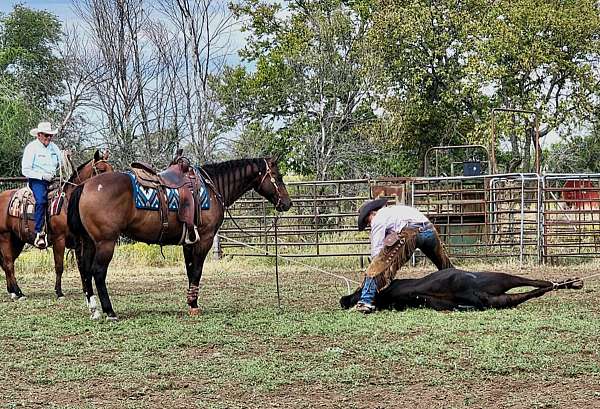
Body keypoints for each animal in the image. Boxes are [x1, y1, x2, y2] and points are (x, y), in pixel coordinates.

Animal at [0, 150, 112, 300]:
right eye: (100, 170)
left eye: (112, 169)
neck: (68, 203)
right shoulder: (59, 239)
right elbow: (59, 266)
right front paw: (59, 292)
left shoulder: (79, 241)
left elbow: (81, 266)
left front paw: (86, 290)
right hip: (5, 237)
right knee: (8, 264)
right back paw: (18, 293)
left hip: (17, 240)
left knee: (8, 264)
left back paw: (13, 291)